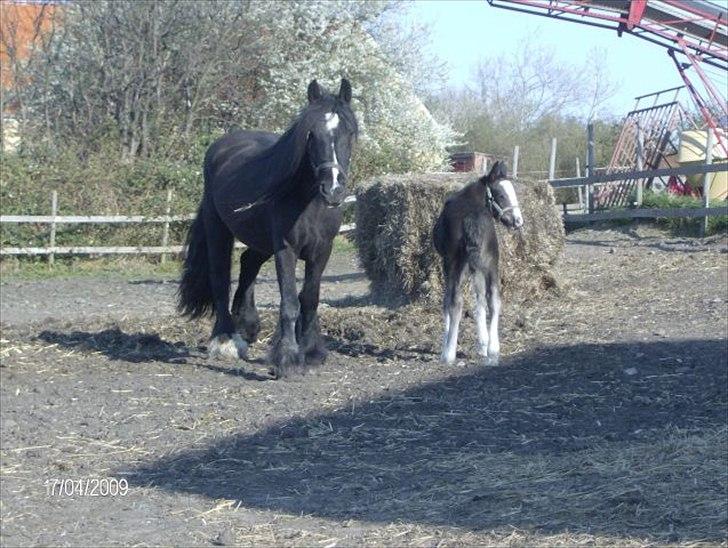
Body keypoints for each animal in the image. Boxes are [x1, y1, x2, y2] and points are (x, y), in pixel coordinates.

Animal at [178, 79, 356, 378]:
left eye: (350, 132)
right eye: (310, 134)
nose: (332, 189)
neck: (308, 201)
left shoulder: (322, 250)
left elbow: (310, 298)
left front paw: (312, 351)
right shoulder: (285, 248)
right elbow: (290, 302)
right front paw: (287, 358)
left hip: (261, 240)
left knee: (248, 262)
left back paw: (247, 325)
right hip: (219, 230)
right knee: (220, 276)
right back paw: (225, 339)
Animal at [432, 163, 524, 366]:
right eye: (501, 195)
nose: (518, 221)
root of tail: (471, 218)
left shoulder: (450, 263)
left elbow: (447, 301)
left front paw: (445, 344)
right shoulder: (477, 265)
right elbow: (480, 299)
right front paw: (483, 345)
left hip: (454, 263)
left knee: (456, 302)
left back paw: (449, 353)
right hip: (491, 262)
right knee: (494, 299)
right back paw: (493, 350)